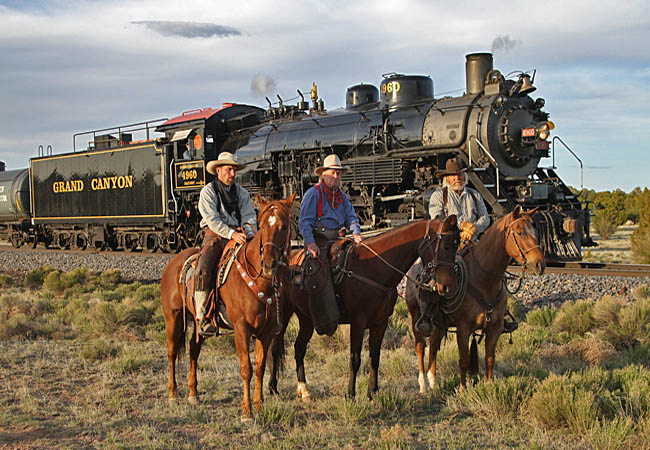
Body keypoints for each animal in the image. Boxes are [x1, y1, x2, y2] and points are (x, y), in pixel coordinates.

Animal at [161, 192, 294, 418]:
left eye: (284, 226)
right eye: (262, 226)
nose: (268, 264)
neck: (260, 282)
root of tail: (174, 262)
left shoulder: (266, 332)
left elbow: (260, 367)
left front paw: (259, 406)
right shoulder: (241, 328)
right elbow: (246, 369)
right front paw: (247, 412)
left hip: (198, 321)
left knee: (193, 349)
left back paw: (193, 394)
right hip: (173, 316)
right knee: (171, 352)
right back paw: (172, 395)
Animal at [268, 215, 460, 400]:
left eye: (456, 245)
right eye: (446, 246)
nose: (446, 287)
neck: (373, 268)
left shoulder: (381, 322)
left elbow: (375, 357)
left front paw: (372, 392)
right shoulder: (358, 322)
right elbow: (355, 359)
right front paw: (350, 394)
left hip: (306, 318)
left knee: (299, 348)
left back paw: (304, 390)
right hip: (283, 315)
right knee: (275, 348)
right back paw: (273, 388)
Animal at [402, 206, 544, 392]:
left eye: (535, 231)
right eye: (520, 232)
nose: (540, 264)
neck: (484, 281)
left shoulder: (494, 328)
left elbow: (490, 359)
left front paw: (489, 387)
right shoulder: (463, 328)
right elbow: (464, 360)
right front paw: (462, 390)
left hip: (438, 323)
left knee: (433, 344)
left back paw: (432, 381)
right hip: (415, 315)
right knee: (420, 347)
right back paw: (423, 385)